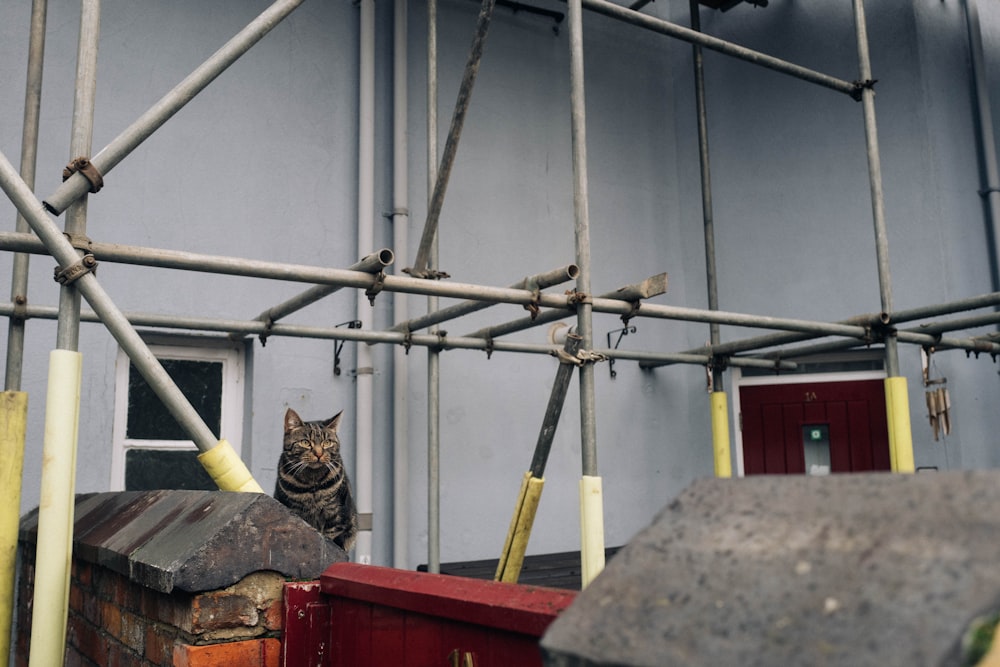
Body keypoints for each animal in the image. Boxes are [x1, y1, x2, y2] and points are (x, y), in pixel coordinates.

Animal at [274, 410, 360, 552]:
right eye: (305, 442)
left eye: (327, 442)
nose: (319, 454)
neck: (312, 483)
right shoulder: (296, 512)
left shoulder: (335, 514)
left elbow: (331, 541)